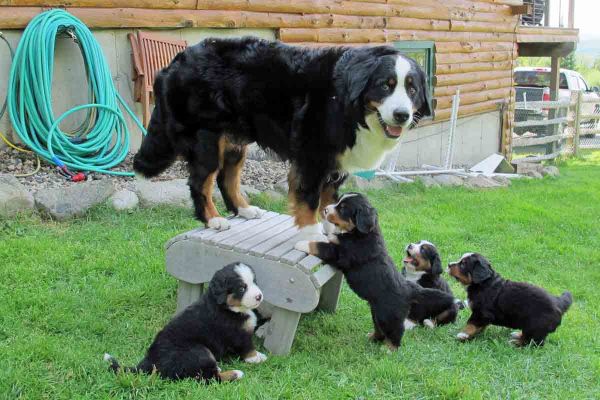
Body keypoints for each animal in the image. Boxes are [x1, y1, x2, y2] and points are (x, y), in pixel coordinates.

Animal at [103, 262, 268, 382]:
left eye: (254, 282)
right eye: (241, 288)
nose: (259, 296)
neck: (228, 307)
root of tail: (150, 361)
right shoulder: (238, 333)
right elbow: (247, 347)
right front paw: (257, 358)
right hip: (199, 351)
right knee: (209, 378)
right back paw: (235, 373)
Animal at [133, 36, 428, 241]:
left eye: (412, 89)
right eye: (385, 85)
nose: (402, 115)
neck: (346, 102)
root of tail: (174, 61)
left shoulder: (336, 164)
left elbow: (329, 199)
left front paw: (331, 224)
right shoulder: (312, 157)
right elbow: (309, 199)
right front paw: (311, 233)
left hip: (234, 141)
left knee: (226, 177)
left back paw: (243, 209)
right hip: (206, 140)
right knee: (201, 182)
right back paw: (213, 219)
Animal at [294, 194, 454, 350]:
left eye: (343, 208)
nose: (325, 209)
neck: (358, 234)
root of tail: (410, 289)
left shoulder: (342, 254)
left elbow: (319, 246)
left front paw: (301, 243)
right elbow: (328, 237)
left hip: (388, 315)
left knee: (396, 331)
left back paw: (389, 349)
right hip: (376, 312)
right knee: (379, 329)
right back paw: (372, 338)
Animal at [448, 255, 576, 346]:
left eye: (463, 264)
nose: (449, 264)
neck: (483, 283)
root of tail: (558, 302)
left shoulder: (481, 313)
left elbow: (471, 323)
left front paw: (463, 334)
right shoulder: (483, 316)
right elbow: (479, 326)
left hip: (535, 325)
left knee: (534, 342)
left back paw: (516, 343)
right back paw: (517, 334)